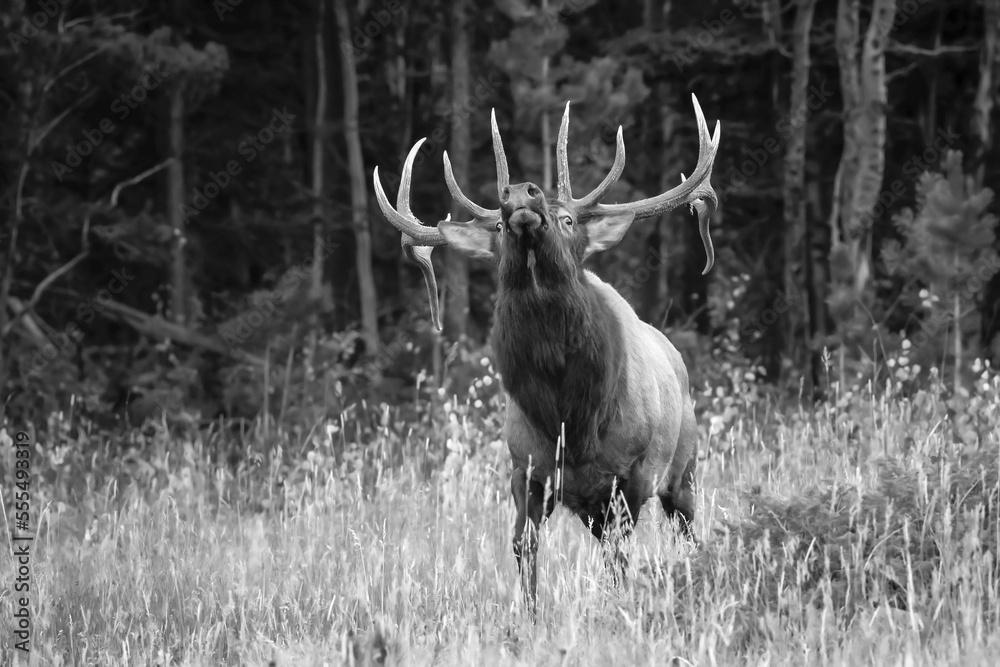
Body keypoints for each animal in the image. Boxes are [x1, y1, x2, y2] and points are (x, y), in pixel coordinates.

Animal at [373, 94, 720, 613]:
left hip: (685, 468)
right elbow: (524, 544)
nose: (521, 193)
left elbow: (621, 555)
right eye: (498, 224)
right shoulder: (526, 469)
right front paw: (530, 615)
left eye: (569, 219)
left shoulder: (632, 476)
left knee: (686, 533)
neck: (569, 417)